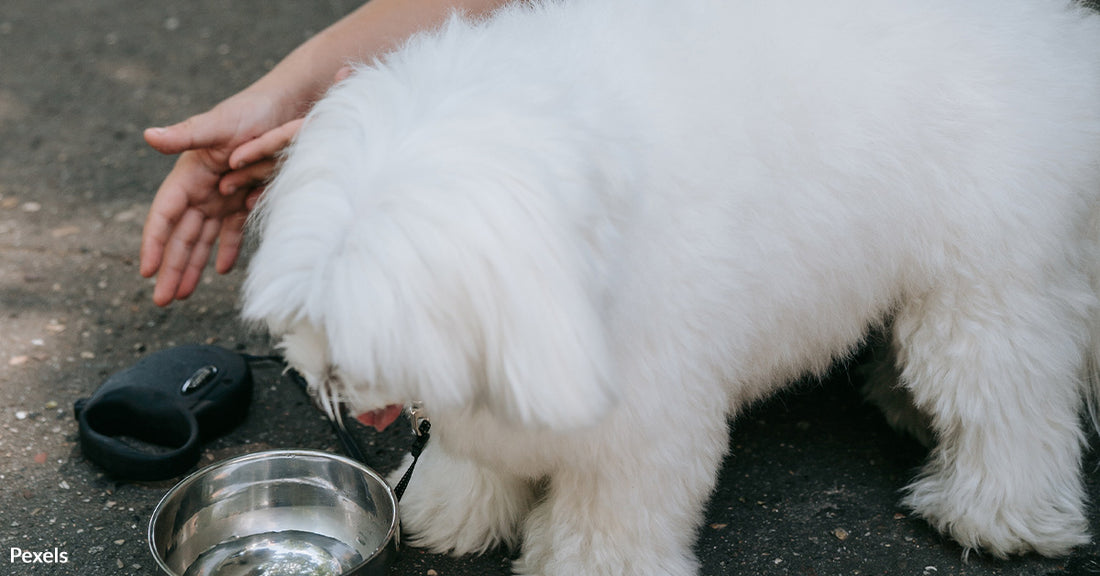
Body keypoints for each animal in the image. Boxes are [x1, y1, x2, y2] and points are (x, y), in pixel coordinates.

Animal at [245, 1, 1100, 571]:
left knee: (1009, 405)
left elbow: (611, 519)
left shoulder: (645, 418)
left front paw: (582, 564)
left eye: (371, 327)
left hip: (982, 292)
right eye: (308, 313)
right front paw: (453, 514)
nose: (330, 387)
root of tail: (1057, 38)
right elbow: (478, 461)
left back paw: (997, 516)